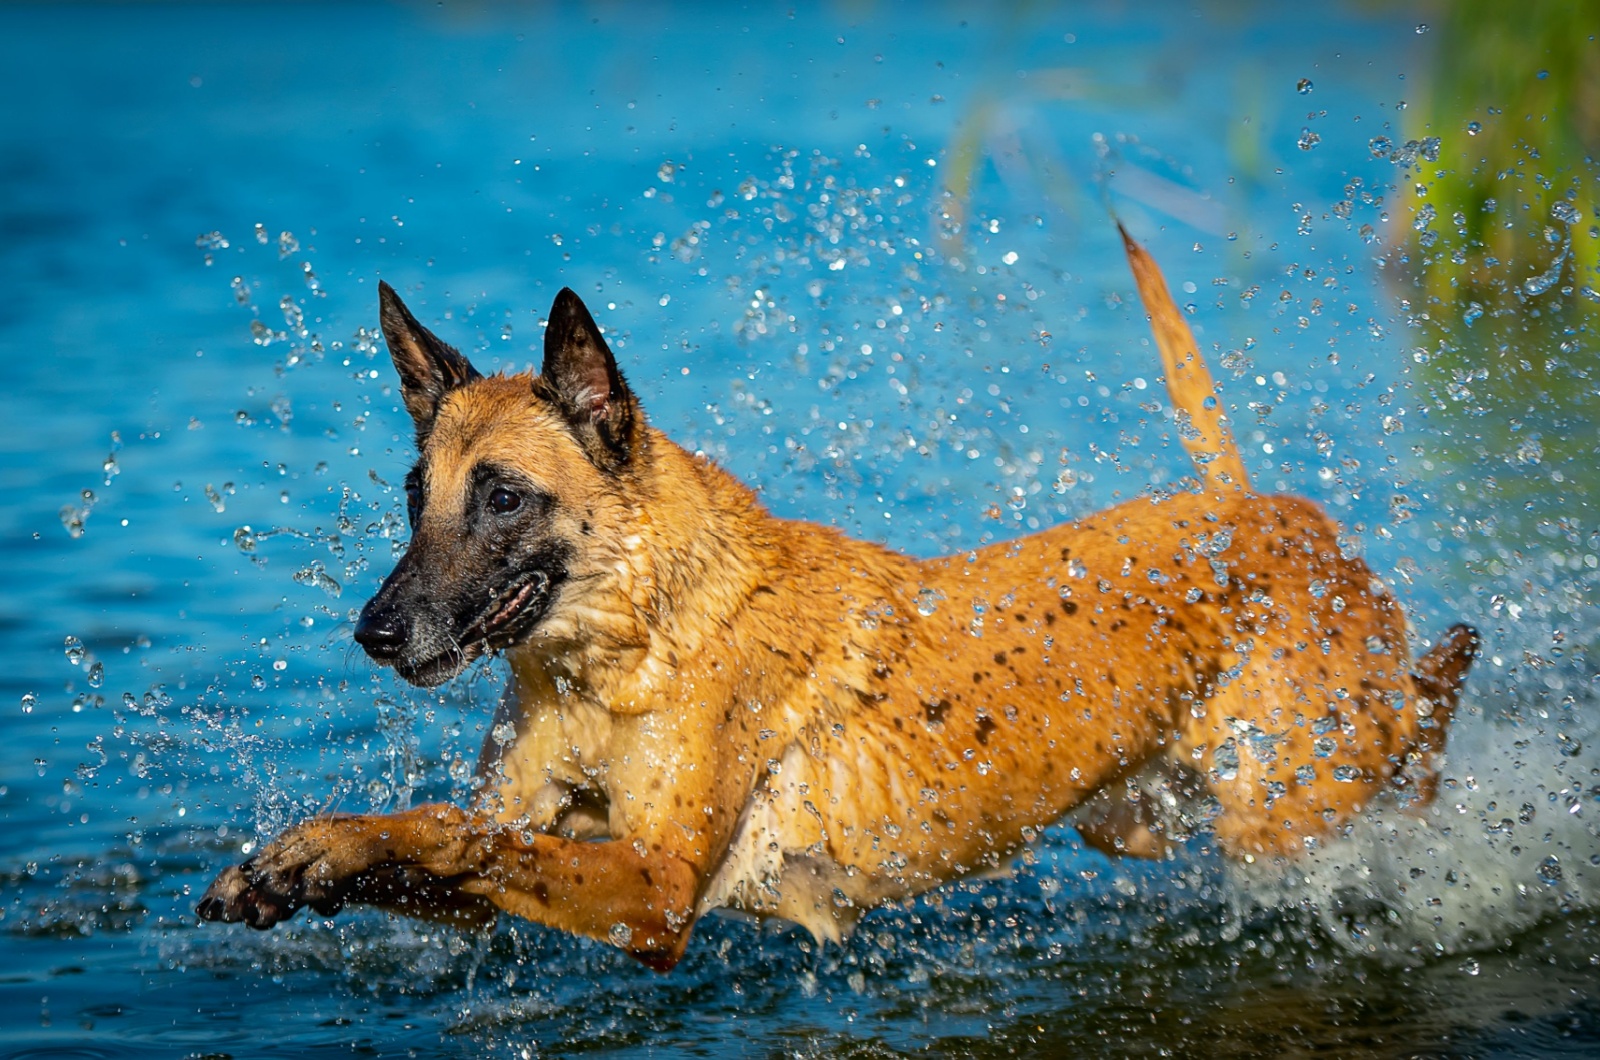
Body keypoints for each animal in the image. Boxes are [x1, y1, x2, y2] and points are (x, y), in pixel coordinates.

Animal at [196, 230, 1472, 973]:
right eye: (415, 496)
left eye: (503, 496)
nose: (372, 632)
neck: (625, 643)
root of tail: (1265, 511)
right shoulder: (534, 849)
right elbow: (445, 841)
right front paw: (298, 861)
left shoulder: (655, 895)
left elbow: (446, 830)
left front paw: (311, 844)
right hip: (1149, 815)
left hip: (1289, 804)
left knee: (1414, 748)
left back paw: (1450, 672)